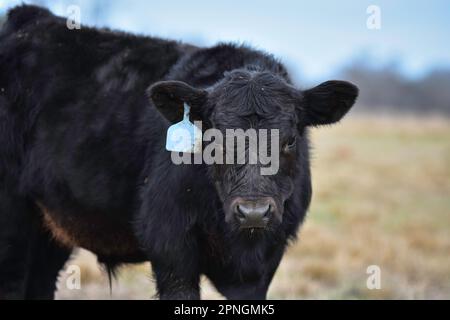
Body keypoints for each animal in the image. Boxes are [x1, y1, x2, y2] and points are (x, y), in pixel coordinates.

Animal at [0, 5, 358, 300]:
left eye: (290, 140)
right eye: (214, 137)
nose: (253, 211)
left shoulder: (267, 260)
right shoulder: (170, 247)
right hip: (13, 216)